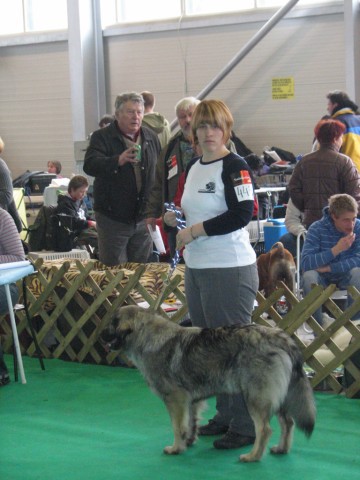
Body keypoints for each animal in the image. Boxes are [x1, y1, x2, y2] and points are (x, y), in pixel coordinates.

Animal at [101, 306, 316, 464]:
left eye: (112, 324)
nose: (100, 335)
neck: (147, 337)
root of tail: (280, 336)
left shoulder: (175, 399)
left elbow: (176, 426)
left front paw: (176, 448)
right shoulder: (190, 401)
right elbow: (190, 423)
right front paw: (188, 441)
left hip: (256, 398)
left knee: (264, 429)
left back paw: (252, 456)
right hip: (279, 398)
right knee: (288, 423)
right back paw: (281, 448)